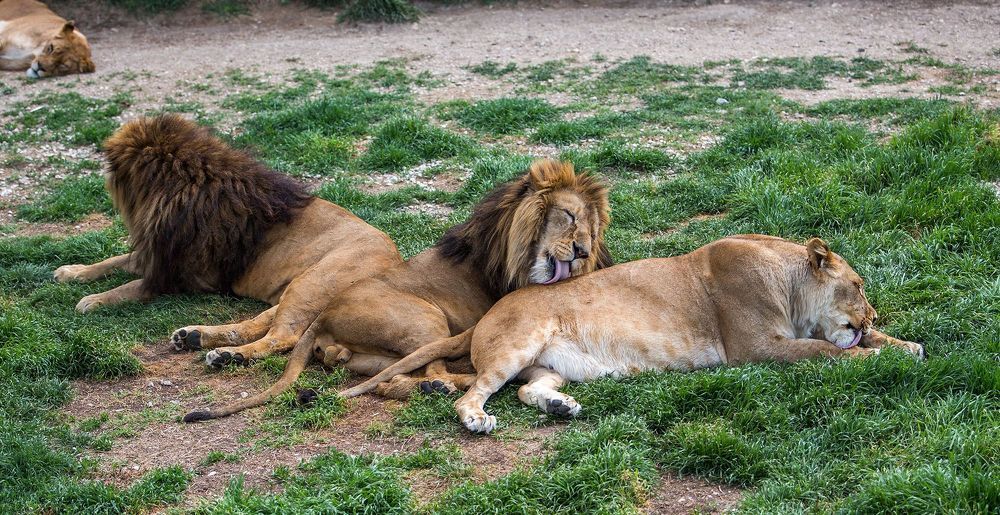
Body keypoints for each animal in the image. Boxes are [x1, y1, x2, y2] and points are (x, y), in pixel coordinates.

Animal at [54, 115, 402, 363]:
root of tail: (398, 264)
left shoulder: (185, 274)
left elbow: (132, 286)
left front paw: (94, 300)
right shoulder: (164, 255)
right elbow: (115, 261)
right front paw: (72, 271)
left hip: (313, 281)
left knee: (283, 337)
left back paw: (227, 356)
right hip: (299, 289)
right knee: (260, 323)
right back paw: (195, 337)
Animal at [180, 160, 613, 422]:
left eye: (591, 231)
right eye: (568, 216)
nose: (582, 251)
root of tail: (324, 317)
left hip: (372, 354)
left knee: (389, 381)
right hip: (426, 318)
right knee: (436, 371)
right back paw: (440, 385)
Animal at [340, 235, 926, 433]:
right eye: (858, 285)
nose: (871, 312)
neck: (787, 281)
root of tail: (482, 320)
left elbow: (859, 342)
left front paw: (906, 345)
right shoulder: (756, 348)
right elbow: (826, 350)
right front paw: (876, 356)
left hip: (547, 365)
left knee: (530, 390)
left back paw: (561, 408)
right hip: (517, 343)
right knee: (472, 393)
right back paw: (477, 420)